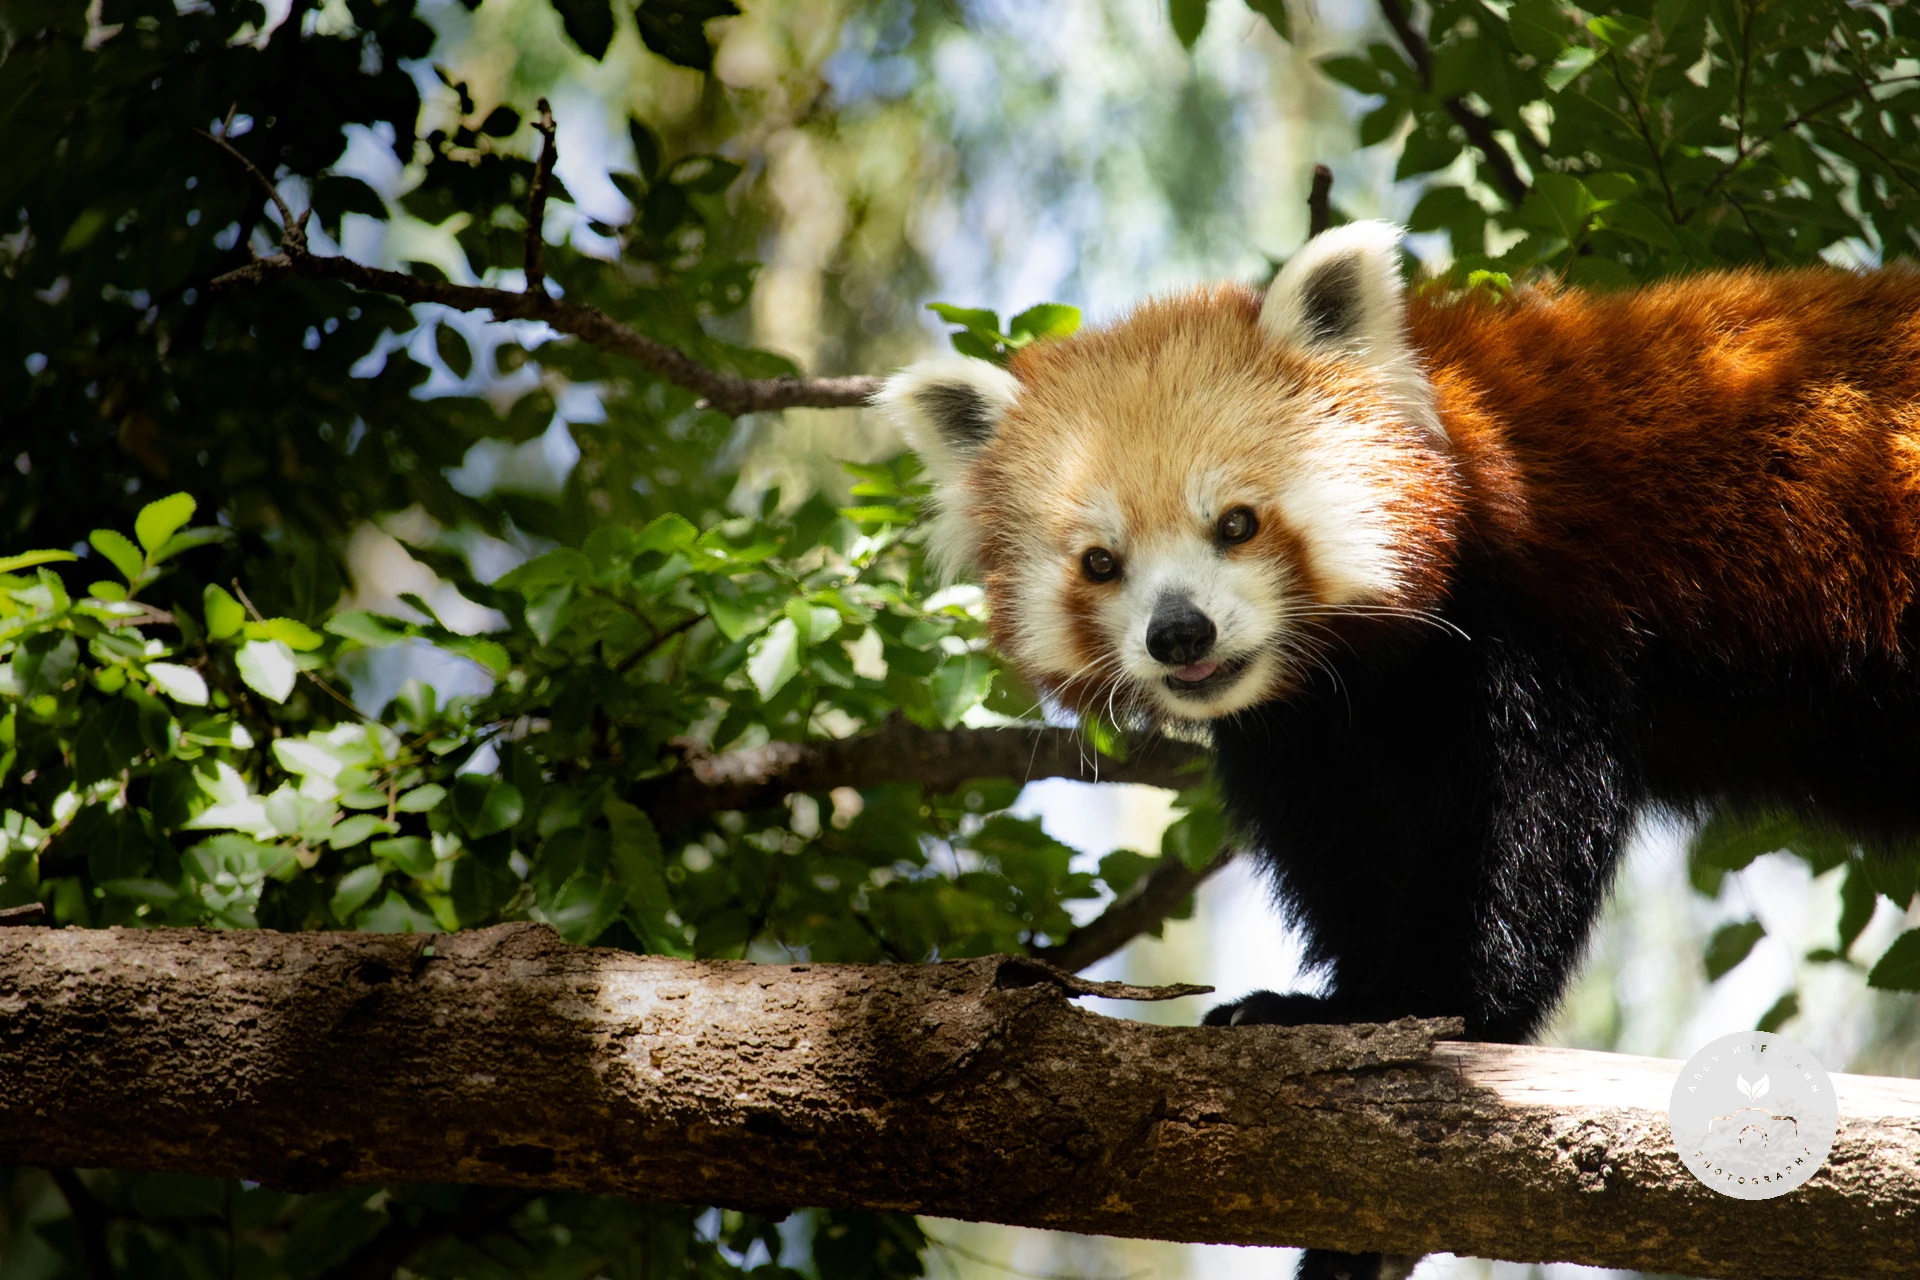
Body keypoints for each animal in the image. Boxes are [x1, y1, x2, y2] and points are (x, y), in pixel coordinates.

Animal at [879, 221, 1920, 1279]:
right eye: (1102, 562)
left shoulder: (1531, 625)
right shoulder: (1312, 730)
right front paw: (1345, 1009)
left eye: (1236, 524)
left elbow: (1521, 835)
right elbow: (1348, 849)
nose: (1178, 634)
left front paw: (1430, 1009)